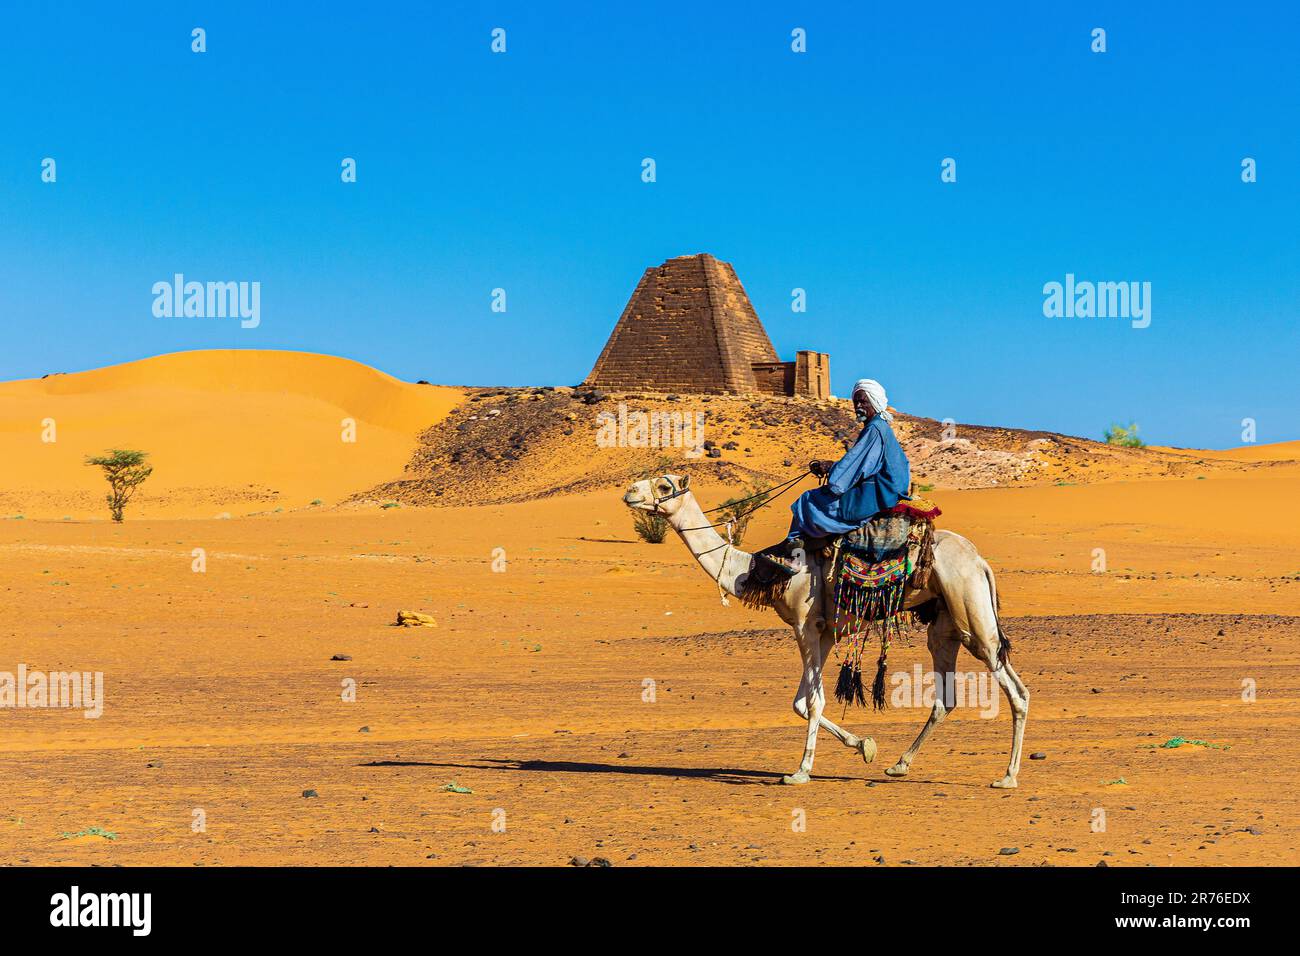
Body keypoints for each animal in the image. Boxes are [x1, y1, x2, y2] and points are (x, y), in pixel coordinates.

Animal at [624, 476, 1029, 790]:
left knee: (1016, 689)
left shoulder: (806, 624)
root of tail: (980, 561)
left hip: (971, 610)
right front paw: (864, 745)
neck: (750, 571)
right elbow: (802, 703)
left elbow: (814, 702)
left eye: (664, 485)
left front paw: (800, 771)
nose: (629, 492)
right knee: (947, 696)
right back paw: (899, 764)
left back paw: (1007, 777)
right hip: (945, 623)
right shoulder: (827, 631)